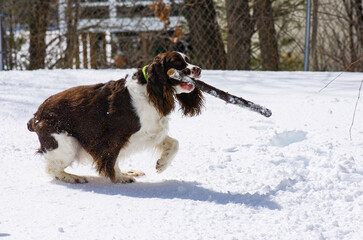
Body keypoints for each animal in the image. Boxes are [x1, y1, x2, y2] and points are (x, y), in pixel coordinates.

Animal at [27, 52, 205, 184]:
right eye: (178, 63)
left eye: (188, 60)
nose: (198, 69)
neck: (149, 91)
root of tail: (36, 116)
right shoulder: (114, 137)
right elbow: (111, 158)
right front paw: (119, 177)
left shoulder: (150, 131)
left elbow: (174, 143)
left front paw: (162, 164)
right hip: (66, 143)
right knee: (52, 169)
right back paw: (72, 177)